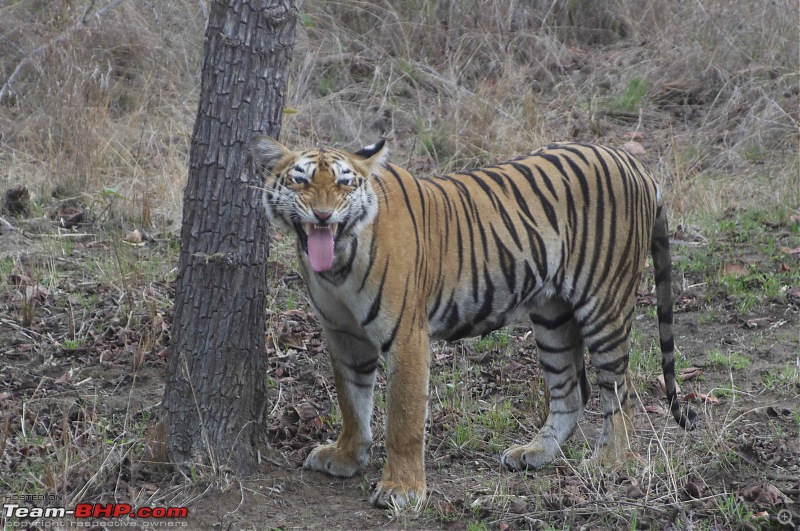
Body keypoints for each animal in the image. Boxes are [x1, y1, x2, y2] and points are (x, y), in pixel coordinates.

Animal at [248, 135, 692, 510]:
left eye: (343, 183)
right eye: (301, 180)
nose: (323, 215)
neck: (338, 263)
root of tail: (633, 162)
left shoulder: (406, 335)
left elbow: (403, 417)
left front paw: (401, 490)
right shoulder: (343, 335)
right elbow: (352, 402)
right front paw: (346, 457)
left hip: (604, 303)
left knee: (620, 388)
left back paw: (609, 462)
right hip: (552, 317)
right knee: (570, 392)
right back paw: (535, 454)